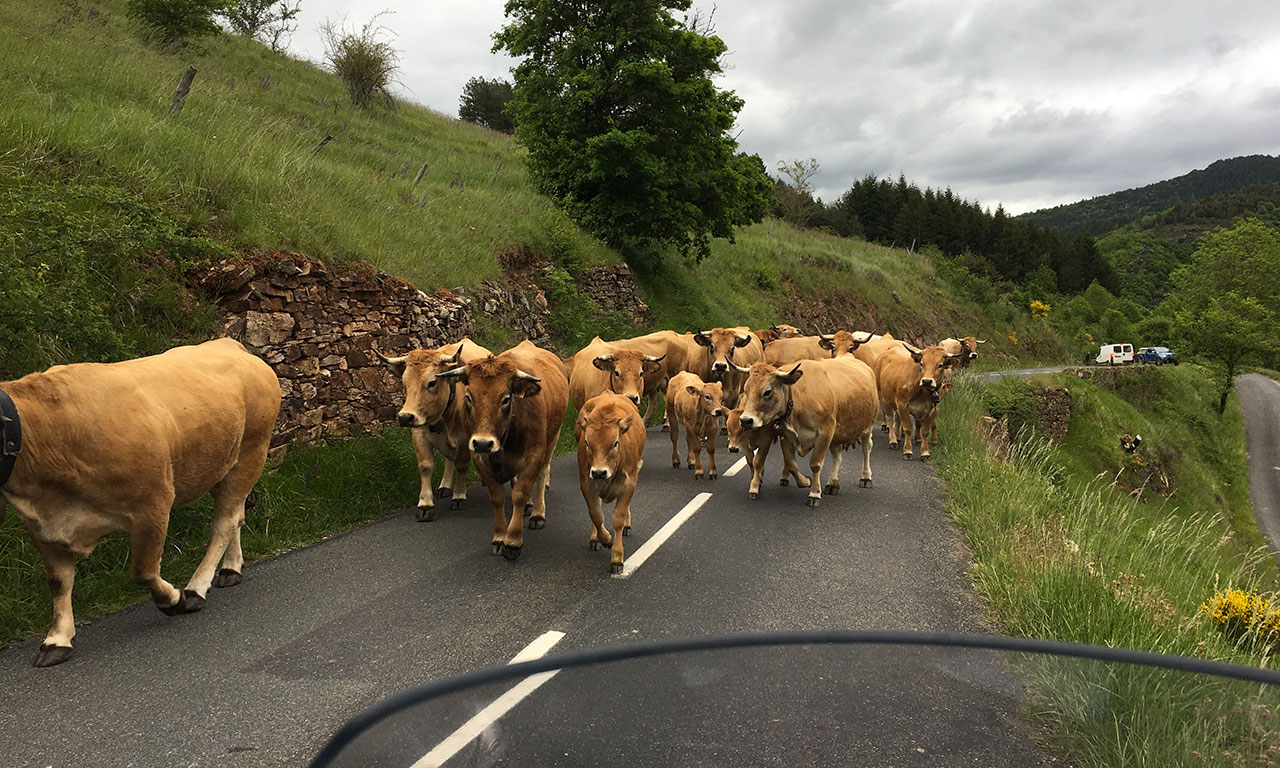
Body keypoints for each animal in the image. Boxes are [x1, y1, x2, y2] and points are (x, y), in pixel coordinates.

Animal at [0, 335, 279, 665]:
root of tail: (227, 343)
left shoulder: (153, 504)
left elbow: (143, 570)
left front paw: (174, 599)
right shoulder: (42, 525)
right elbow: (58, 581)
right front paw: (57, 639)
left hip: (250, 453)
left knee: (223, 523)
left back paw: (197, 588)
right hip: (219, 464)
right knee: (236, 515)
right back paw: (230, 569)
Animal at [376, 337, 491, 522]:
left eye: (432, 382)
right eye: (404, 383)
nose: (405, 417)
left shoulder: (465, 439)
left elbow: (462, 465)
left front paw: (459, 495)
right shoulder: (419, 434)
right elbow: (426, 466)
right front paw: (425, 504)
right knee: (449, 459)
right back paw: (445, 486)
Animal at [435, 340, 565, 558]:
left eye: (505, 399)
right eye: (469, 397)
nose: (483, 443)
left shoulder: (535, 454)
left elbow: (520, 493)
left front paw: (512, 540)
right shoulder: (479, 458)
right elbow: (497, 498)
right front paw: (499, 537)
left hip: (553, 438)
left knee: (542, 474)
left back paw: (537, 513)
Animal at [576, 394, 645, 573]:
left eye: (615, 443)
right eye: (587, 442)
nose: (599, 472)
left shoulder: (629, 485)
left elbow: (618, 518)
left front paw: (617, 558)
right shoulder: (587, 484)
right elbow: (596, 514)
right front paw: (605, 538)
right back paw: (595, 539)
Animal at [732, 350, 880, 506]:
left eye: (767, 391)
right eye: (746, 389)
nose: (745, 420)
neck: (798, 399)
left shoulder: (825, 433)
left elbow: (815, 464)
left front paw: (814, 493)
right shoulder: (786, 435)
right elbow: (791, 464)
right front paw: (806, 481)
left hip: (867, 426)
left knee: (866, 448)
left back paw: (865, 477)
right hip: (837, 434)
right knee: (837, 456)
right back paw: (832, 483)